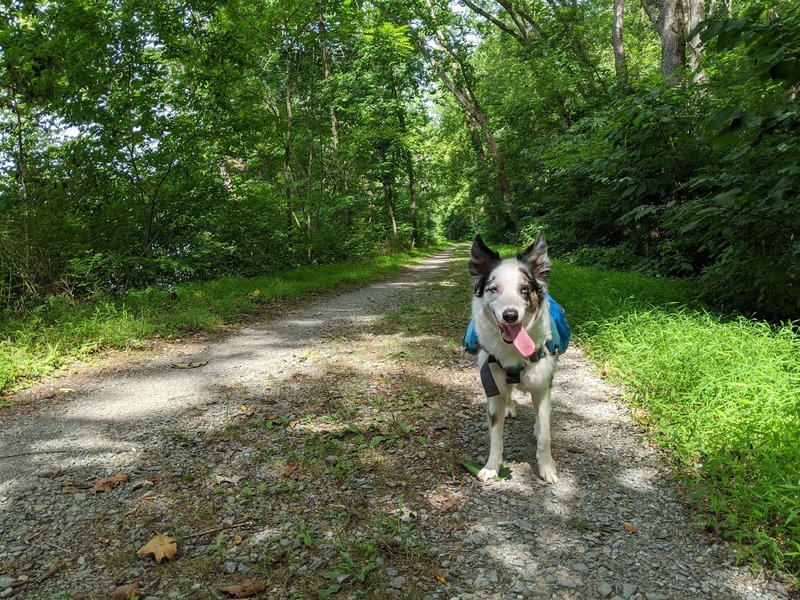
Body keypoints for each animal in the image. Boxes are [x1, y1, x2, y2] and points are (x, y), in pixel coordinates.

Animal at [466, 233, 560, 482]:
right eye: (493, 289)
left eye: (525, 289)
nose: (510, 315)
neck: (514, 352)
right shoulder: (492, 382)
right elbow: (495, 435)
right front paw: (492, 467)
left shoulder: (542, 382)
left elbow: (545, 433)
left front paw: (547, 468)